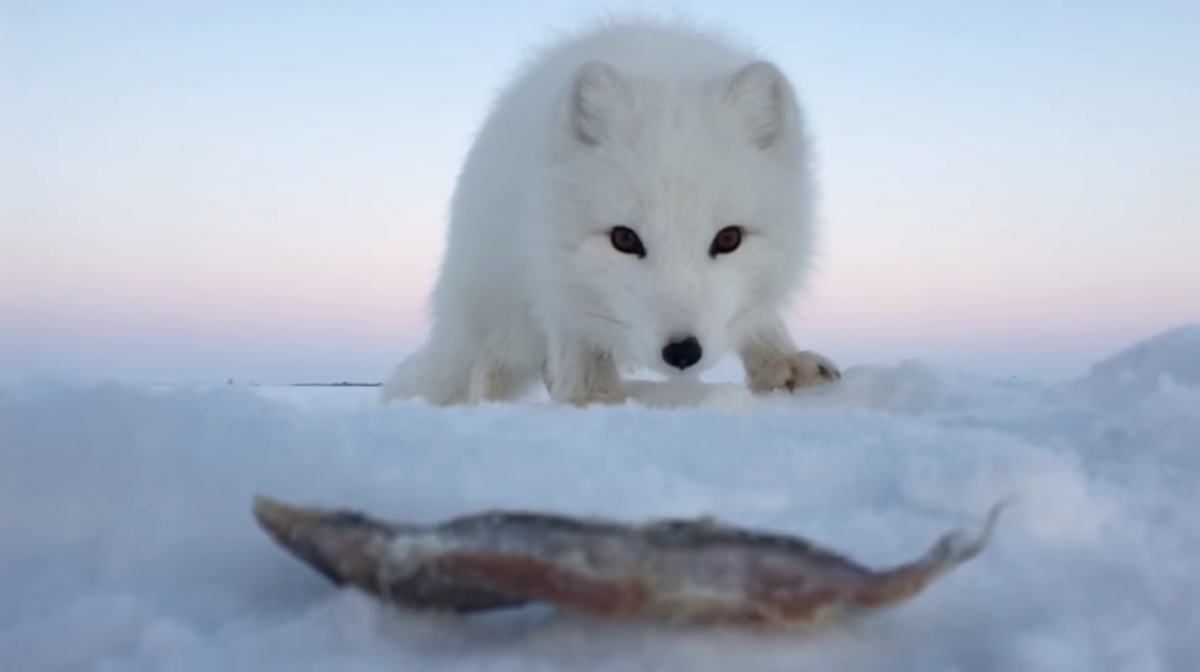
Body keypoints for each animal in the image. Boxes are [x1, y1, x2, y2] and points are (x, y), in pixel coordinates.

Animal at [379, 14, 840, 403]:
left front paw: (780, 363)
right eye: (624, 238)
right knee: (487, 367)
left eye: (728, 238)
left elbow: (760, 317)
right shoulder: (553, 267)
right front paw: (590, 396)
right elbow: (577, 340)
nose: (682, 352)